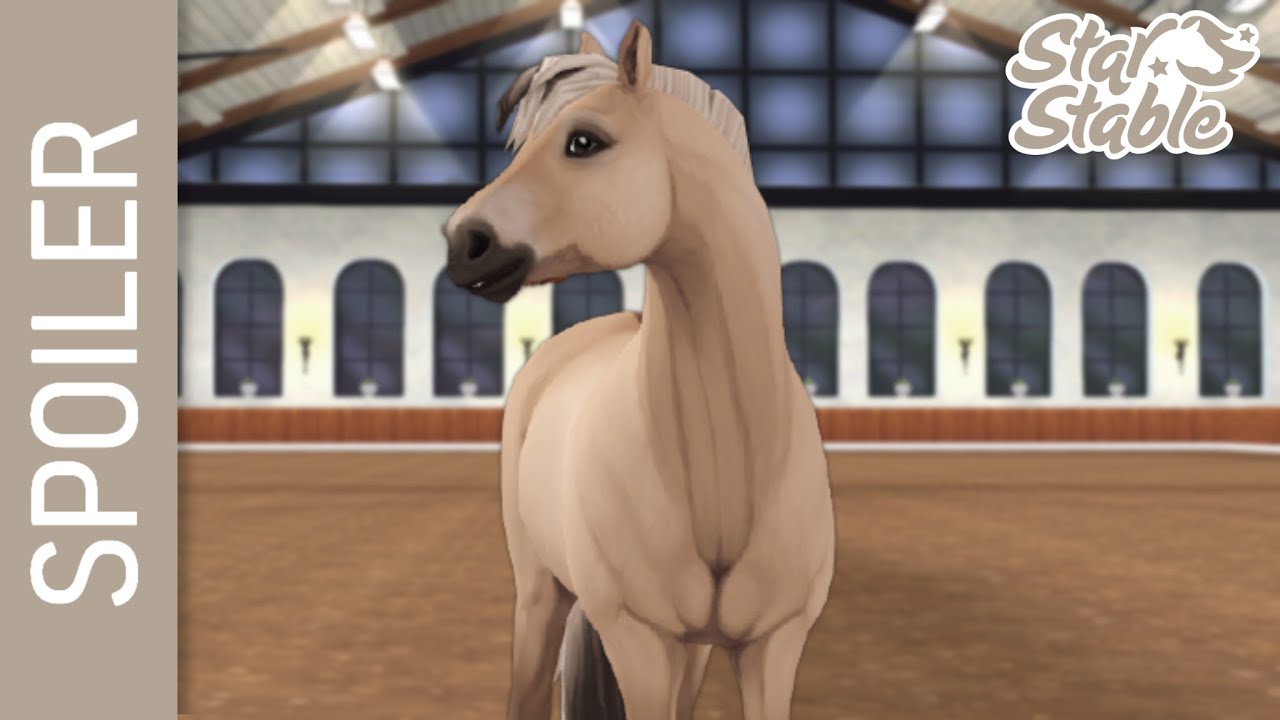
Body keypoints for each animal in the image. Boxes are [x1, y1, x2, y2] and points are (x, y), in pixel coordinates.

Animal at [442, 22, 835, 720]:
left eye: (584, 141)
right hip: (541, 592)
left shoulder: (773, 645)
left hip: (693, 648)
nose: (463, 242)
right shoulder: (638, 638)